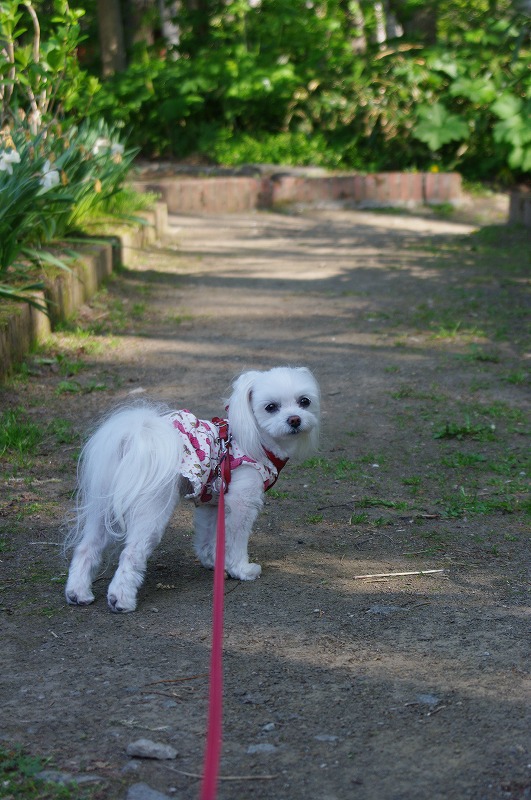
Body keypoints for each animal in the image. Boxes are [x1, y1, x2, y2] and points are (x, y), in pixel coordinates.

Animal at [64, 366, 320, 612]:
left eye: (304, 401)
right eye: (270, 407)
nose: (295, 419)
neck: (255, 440)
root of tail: (133, 438)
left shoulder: (211, 502)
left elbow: (208, 536)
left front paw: (214, 561)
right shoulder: (242, 502)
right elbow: (236, 538)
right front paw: (241, 569)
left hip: (103, 505)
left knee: (87, 546)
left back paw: (78, 593)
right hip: (152, 509)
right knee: (131, 553)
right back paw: (121, 600)